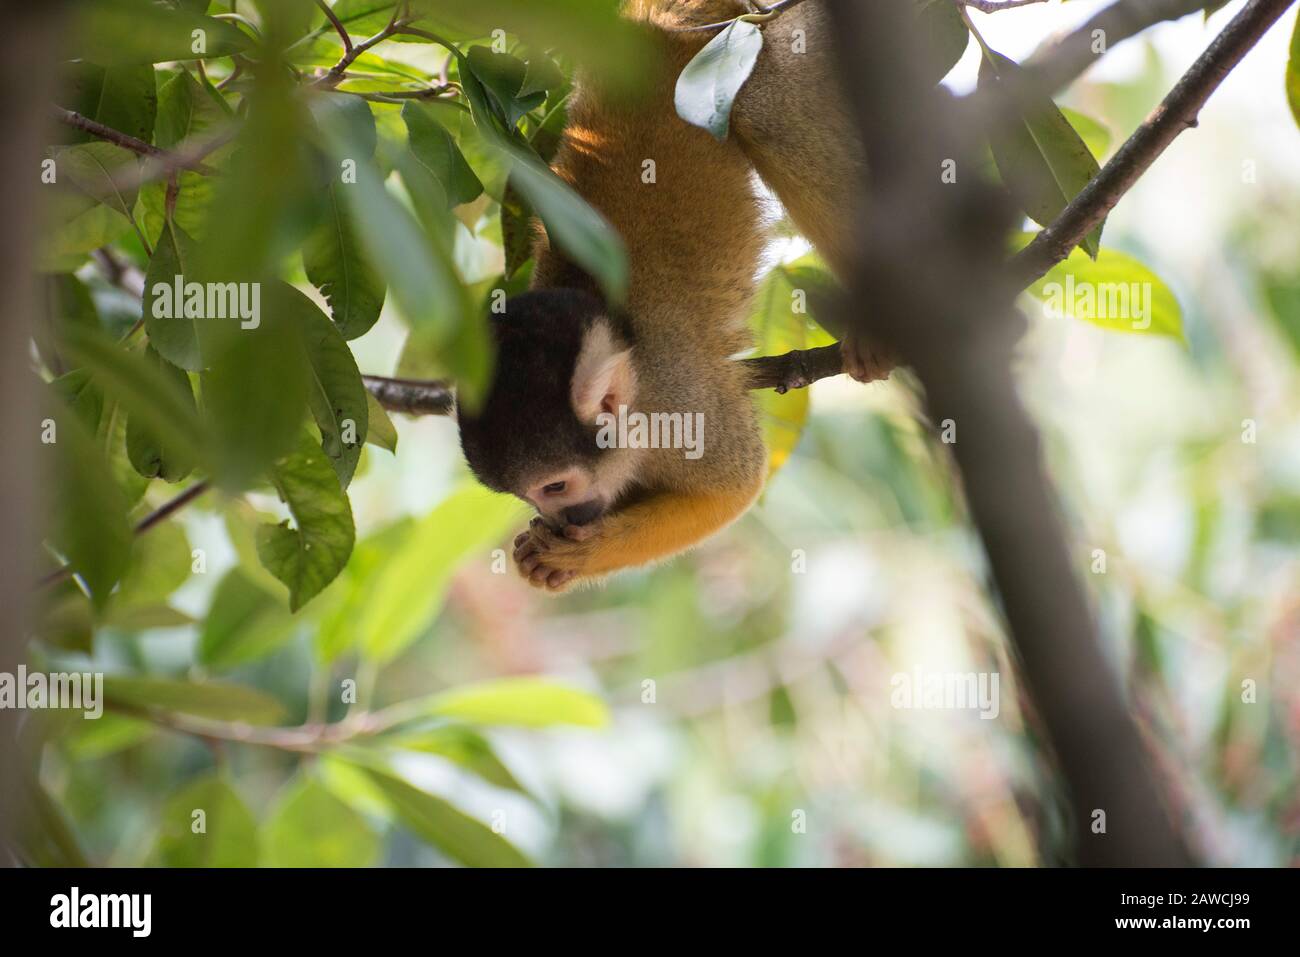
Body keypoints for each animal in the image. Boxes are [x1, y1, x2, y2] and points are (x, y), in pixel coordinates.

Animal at [457, 0, 888, 592]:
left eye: (555, 488)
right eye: (529, 496)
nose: (560, 518)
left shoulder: (680, 402)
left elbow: (736, 483)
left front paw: (579, 555)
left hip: (761, 46)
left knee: (769, 122)